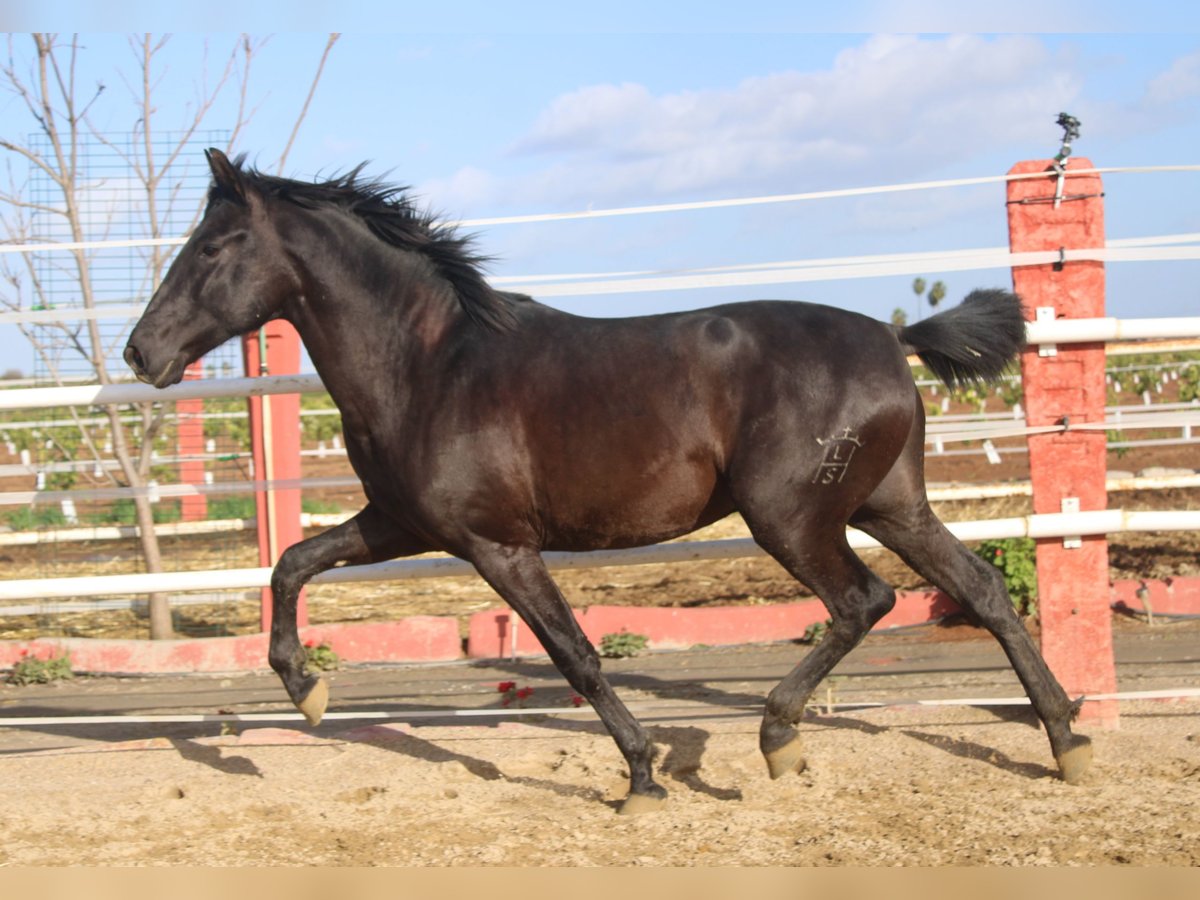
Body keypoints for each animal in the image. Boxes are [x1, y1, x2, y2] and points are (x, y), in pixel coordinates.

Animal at [125, 149, 1092, 814]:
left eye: (213, 247)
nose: (141, 352)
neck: (430, 365)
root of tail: (895, 339)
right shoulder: (402, 525)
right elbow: (291, 563)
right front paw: (307, 691)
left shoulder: (497, 546)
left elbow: (576, 656)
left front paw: (640, 778)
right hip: (892, 506)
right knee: (981, 590)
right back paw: (1066, 739)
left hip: (790, 517)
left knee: (865, 602)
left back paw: (779, 737)